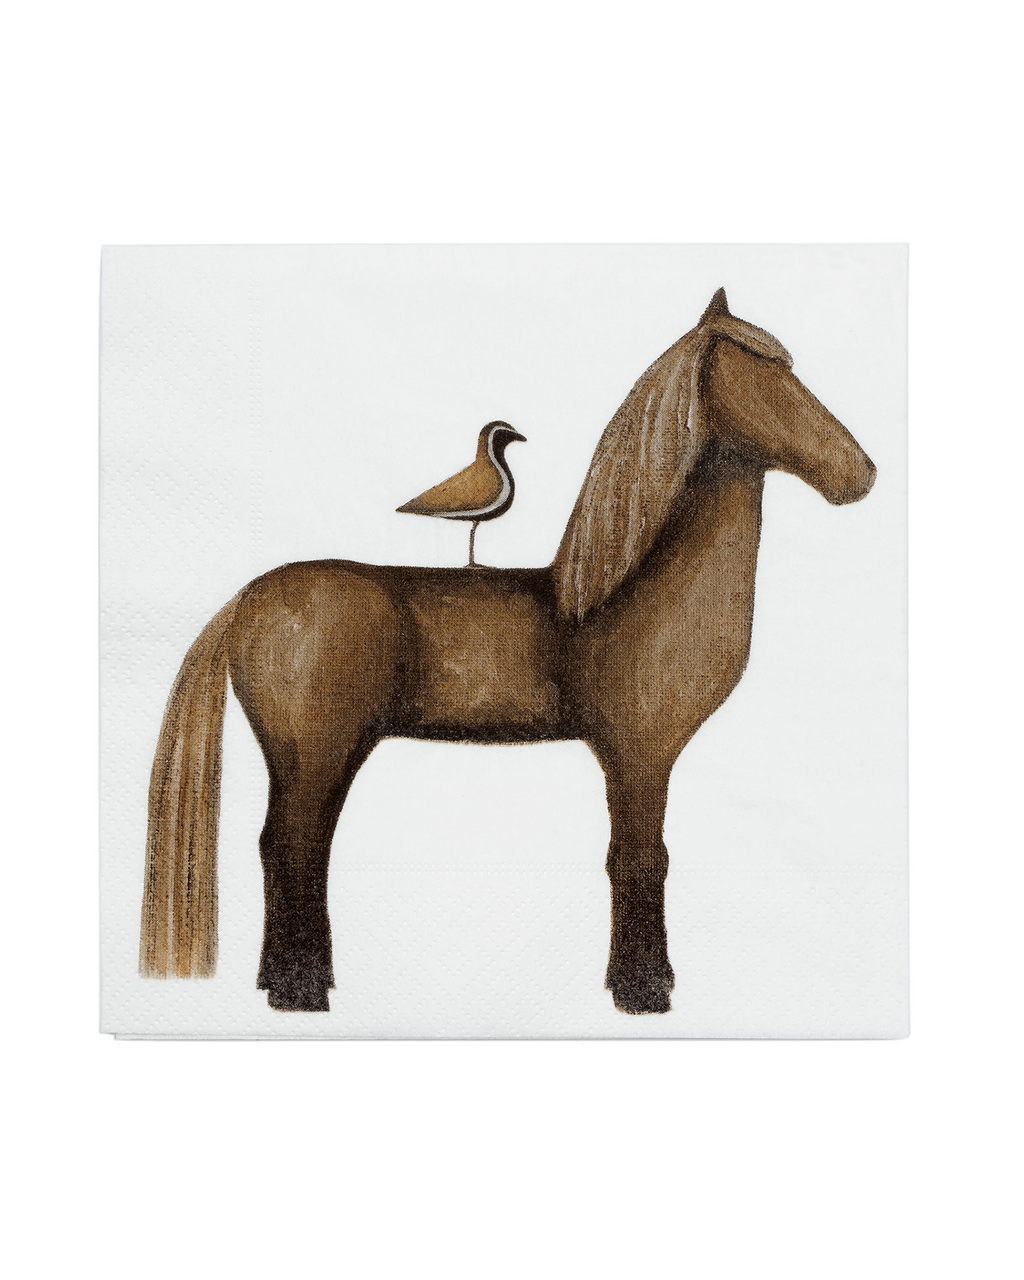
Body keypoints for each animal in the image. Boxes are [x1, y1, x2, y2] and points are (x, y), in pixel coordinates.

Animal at [139, 287, 876, 1015]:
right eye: (770, 376)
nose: (860, 474)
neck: (621, 593)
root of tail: (249, 598)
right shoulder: (638, 754)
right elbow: (639, 856)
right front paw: (643, 990)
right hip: (319, 749)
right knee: (296, 845)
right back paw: (302, 992)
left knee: (284, 845)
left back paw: (285, 981)